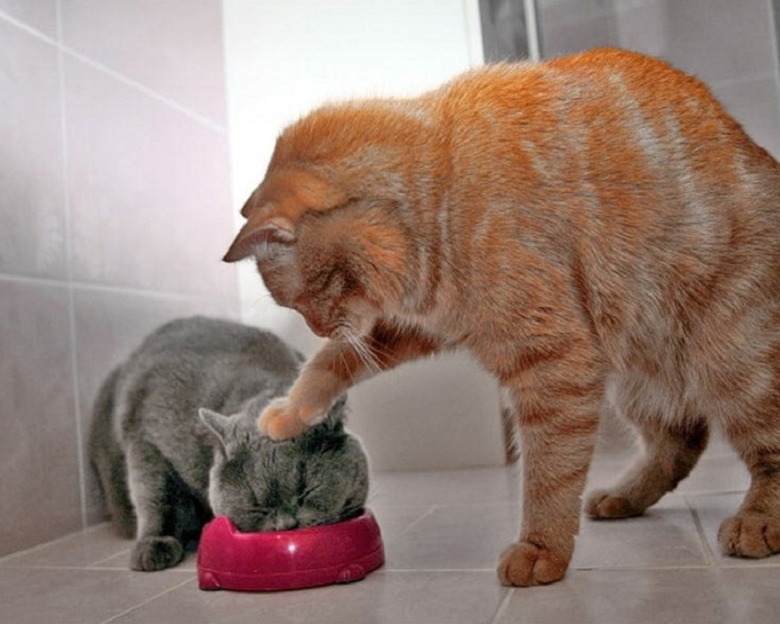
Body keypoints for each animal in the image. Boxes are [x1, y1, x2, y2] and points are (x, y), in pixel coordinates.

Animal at [88, 316, 368, 572]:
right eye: (255, 501)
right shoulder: (145, 438)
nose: (286, 525)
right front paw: (154, 545)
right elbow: (154, 494)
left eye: (305, 489)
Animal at [222, 47, 780, 584]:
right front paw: (289, 412)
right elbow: (328, 364)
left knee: (764, 450)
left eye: (303, 298)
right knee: (681, 440)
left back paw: (757, 522)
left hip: (732, 361)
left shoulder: (555, 366)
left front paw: (541, 549)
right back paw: (623, 494)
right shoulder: (418, 325)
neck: (438, 197)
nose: (313, 326)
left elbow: (547, 477)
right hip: (638, 377)